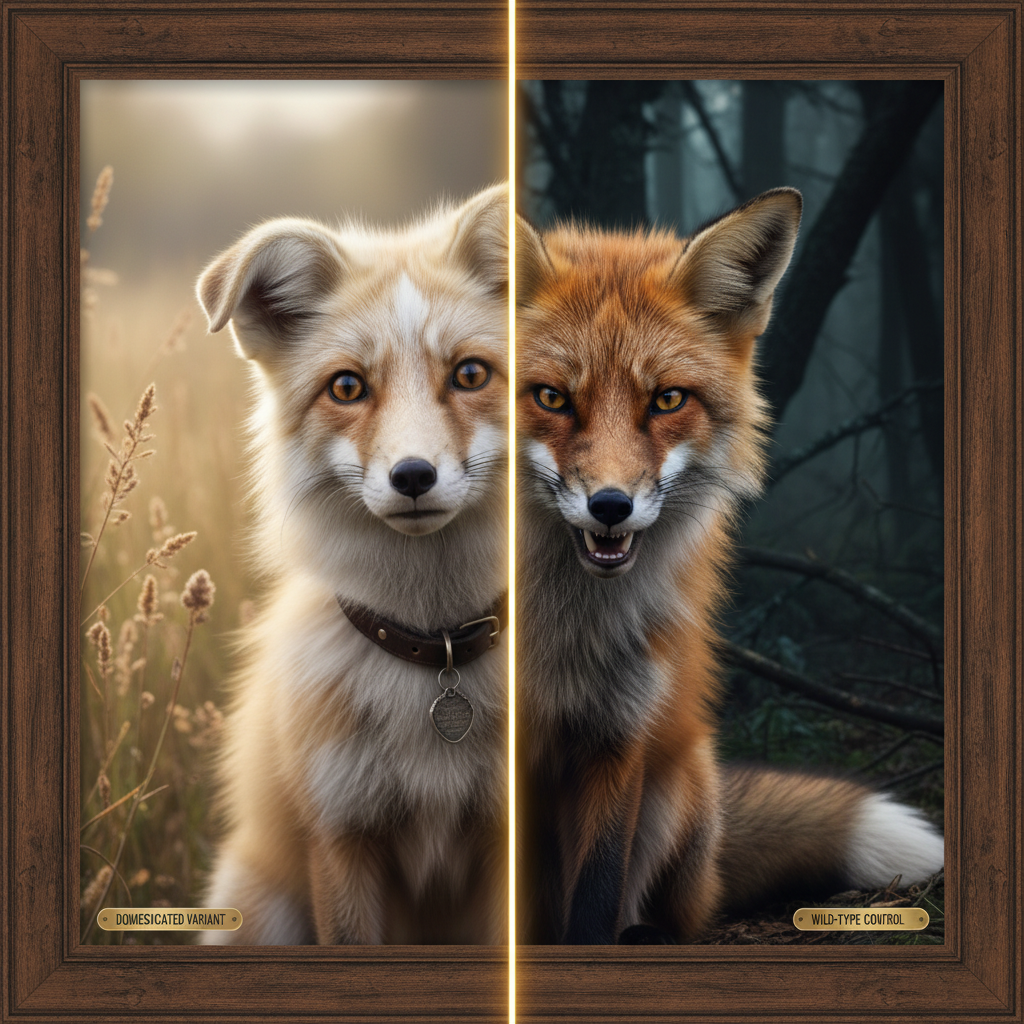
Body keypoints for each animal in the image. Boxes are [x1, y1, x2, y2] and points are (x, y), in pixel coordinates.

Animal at [514, 188, 944, 944]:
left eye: (667, 399)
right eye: (551, 397)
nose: (610, 506)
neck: (564, 638)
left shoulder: (618, 738)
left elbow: (594, 900)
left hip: (677, 789)